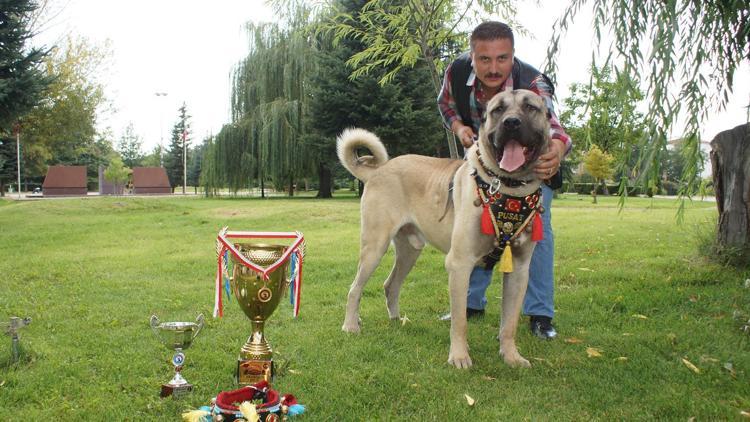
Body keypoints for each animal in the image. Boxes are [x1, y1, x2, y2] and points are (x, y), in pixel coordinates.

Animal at [338, 90, 548, 370]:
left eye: (530, 107)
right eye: (498, 110)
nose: (511, 123)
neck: (508, 189)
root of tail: (378, 170)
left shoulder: (519, 269)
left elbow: (510, 322)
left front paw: (511, 356)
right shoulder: (459, 264)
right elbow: (460, 321)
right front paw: (459, 357)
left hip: (409, 250)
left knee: (390, 284)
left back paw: (396, 320)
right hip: (374, 246)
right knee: (355, 289)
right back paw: (351, 325)